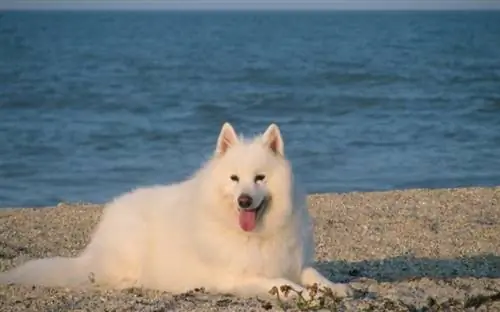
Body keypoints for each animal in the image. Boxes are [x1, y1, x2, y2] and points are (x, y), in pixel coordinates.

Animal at [0, 123, 352, 302]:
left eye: (260, 178)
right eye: (234, 179)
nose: (243, 201)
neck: (254, 235)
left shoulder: (293, 261)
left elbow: (314, 275)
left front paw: (336, 288)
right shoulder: (238, 275)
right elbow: (281, 283)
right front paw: (304, 295)